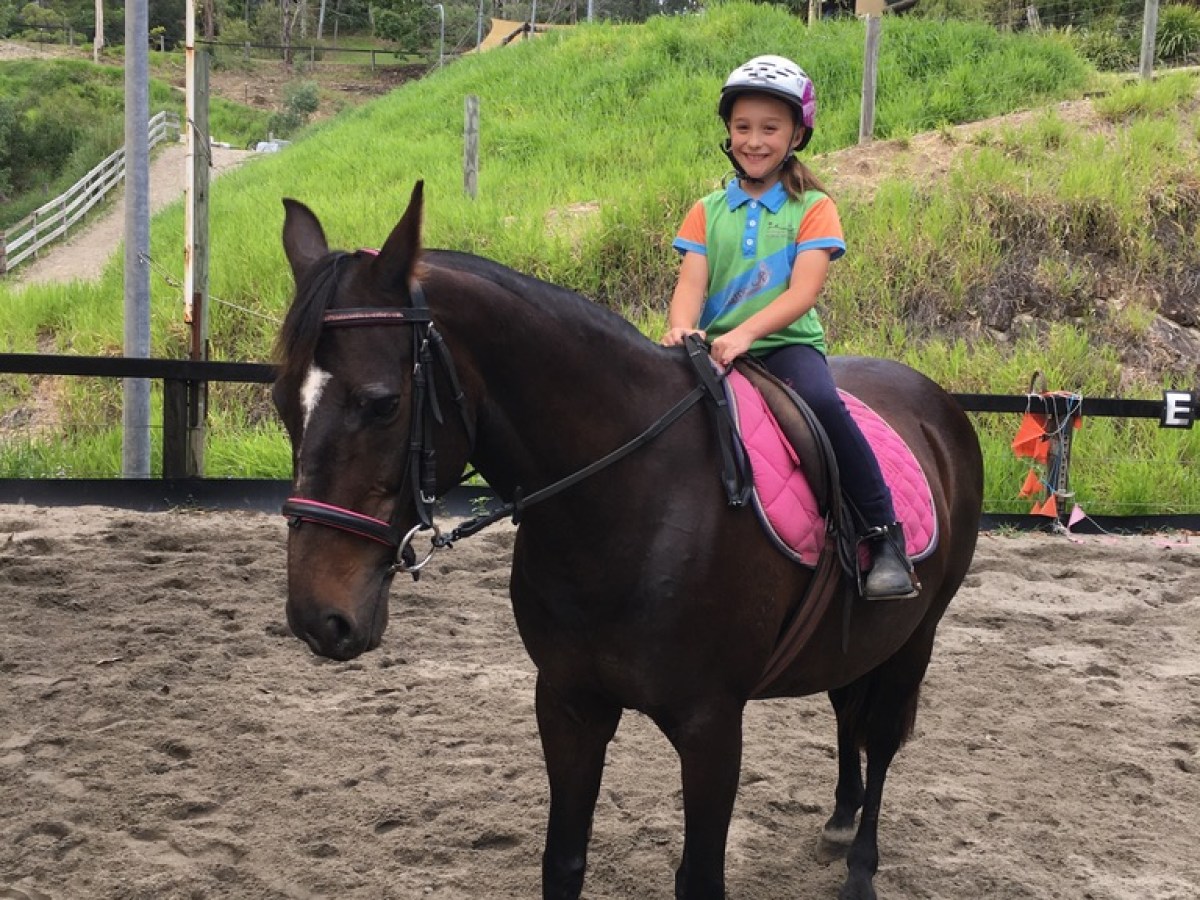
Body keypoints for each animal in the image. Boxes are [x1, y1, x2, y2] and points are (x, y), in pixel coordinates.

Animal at [272, 182, 984, 900]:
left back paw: (861, 865)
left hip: (916, 636)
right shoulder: (568, 705)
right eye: (280, 402)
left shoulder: (711, 727)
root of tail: (937, 402)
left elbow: (700, 878)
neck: (630, 504)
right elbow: (563, 863)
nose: (318, 617)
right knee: (846, 708)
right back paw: (840, 816)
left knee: (882, 736)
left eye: (382, 403)